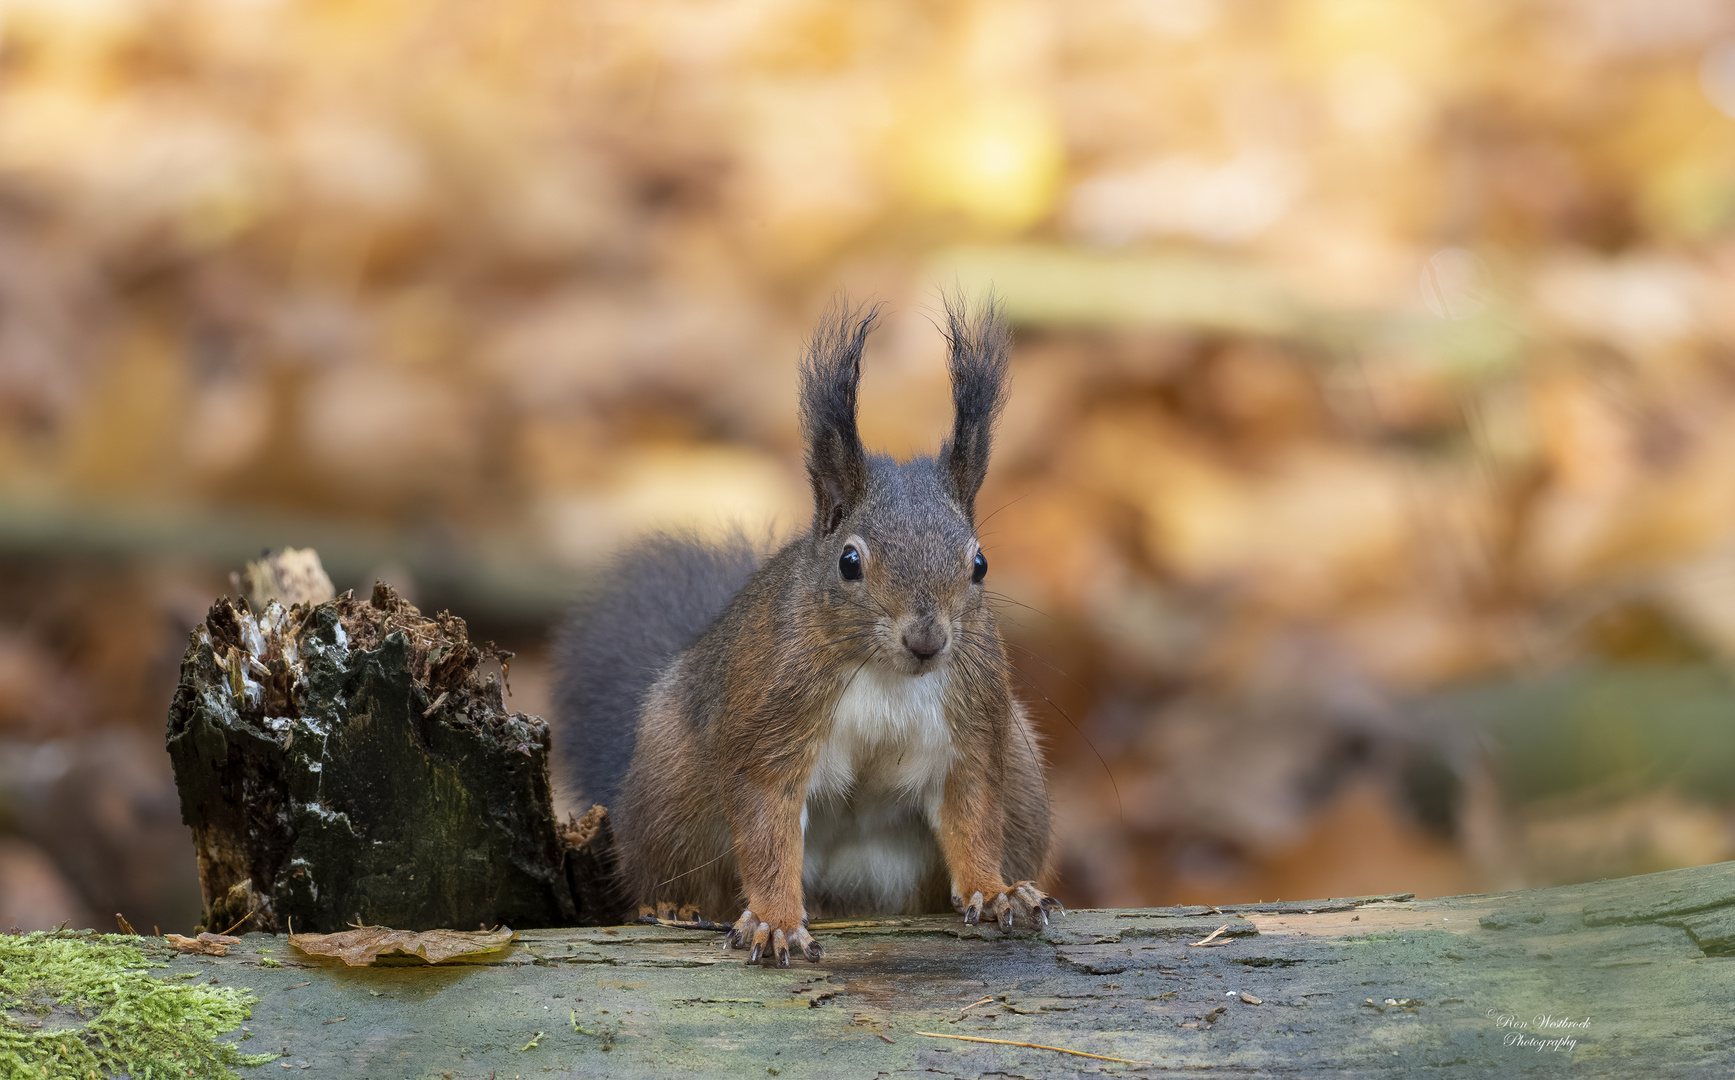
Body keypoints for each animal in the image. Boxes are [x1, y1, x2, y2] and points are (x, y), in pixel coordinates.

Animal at [551, 300, 1054, 972]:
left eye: (980, 565)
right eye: (849, 561)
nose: (927, 640)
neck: (886, 675)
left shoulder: (971, 730)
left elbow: (973, 815)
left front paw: (994, 891)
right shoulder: (771, 723)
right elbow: (766, 823)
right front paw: (775, 922)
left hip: (1023, 771)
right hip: (669, 786)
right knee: (664, 870)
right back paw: (674, 907)